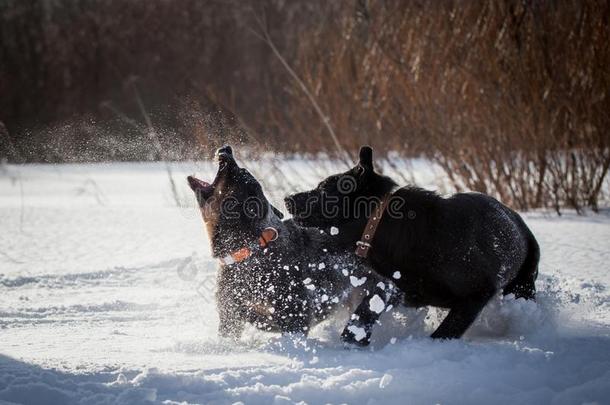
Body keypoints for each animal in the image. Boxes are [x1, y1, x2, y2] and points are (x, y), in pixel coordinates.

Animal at [284, 146, 536, 344]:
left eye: (323, 189)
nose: (287, 198)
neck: (381, 223)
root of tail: (518, 221)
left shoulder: (478, 292)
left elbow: (446, 331)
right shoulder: (401, 288)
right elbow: (364, 313)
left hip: (523, 285)